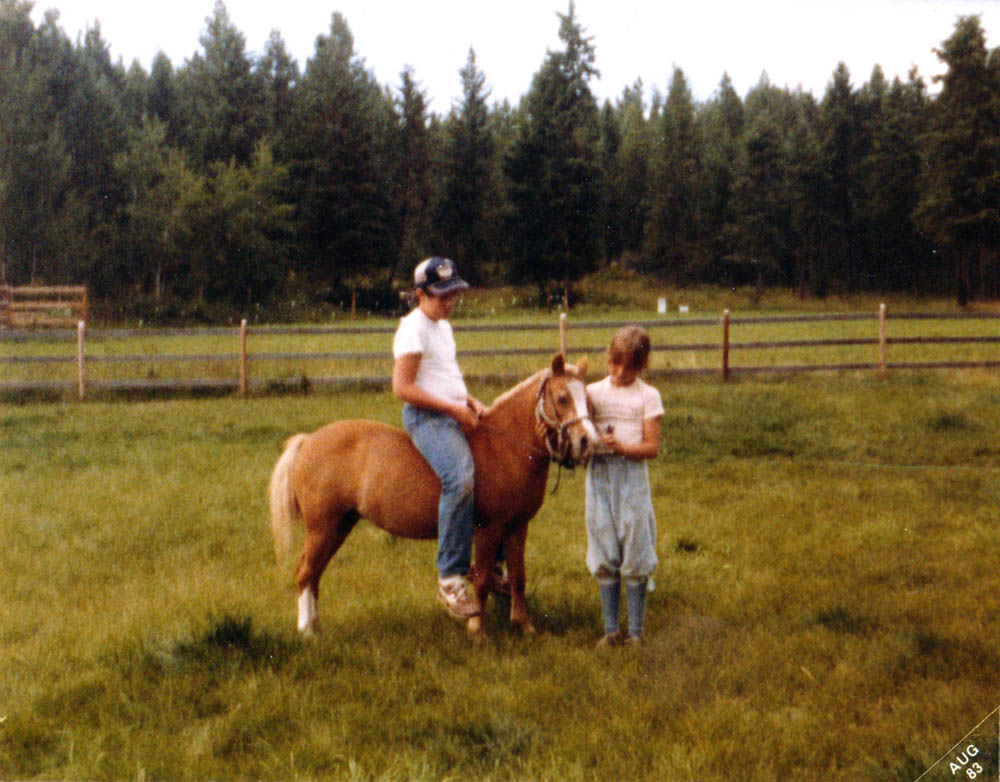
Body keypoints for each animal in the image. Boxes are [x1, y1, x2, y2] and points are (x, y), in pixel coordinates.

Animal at [268, 353, 598, 636]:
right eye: (563, 398)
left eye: (588, 399)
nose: (586, 441)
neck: (504, 446)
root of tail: (309, 440)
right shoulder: (488, 529)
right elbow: (481, 580)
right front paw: (477, 628)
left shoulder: (517, 527)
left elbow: (518, 577)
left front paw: (524, 626)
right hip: (323, 526)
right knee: (305, 571)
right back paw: (306, 630)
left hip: (339, 525)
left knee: (315, 573)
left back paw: (315, 624)